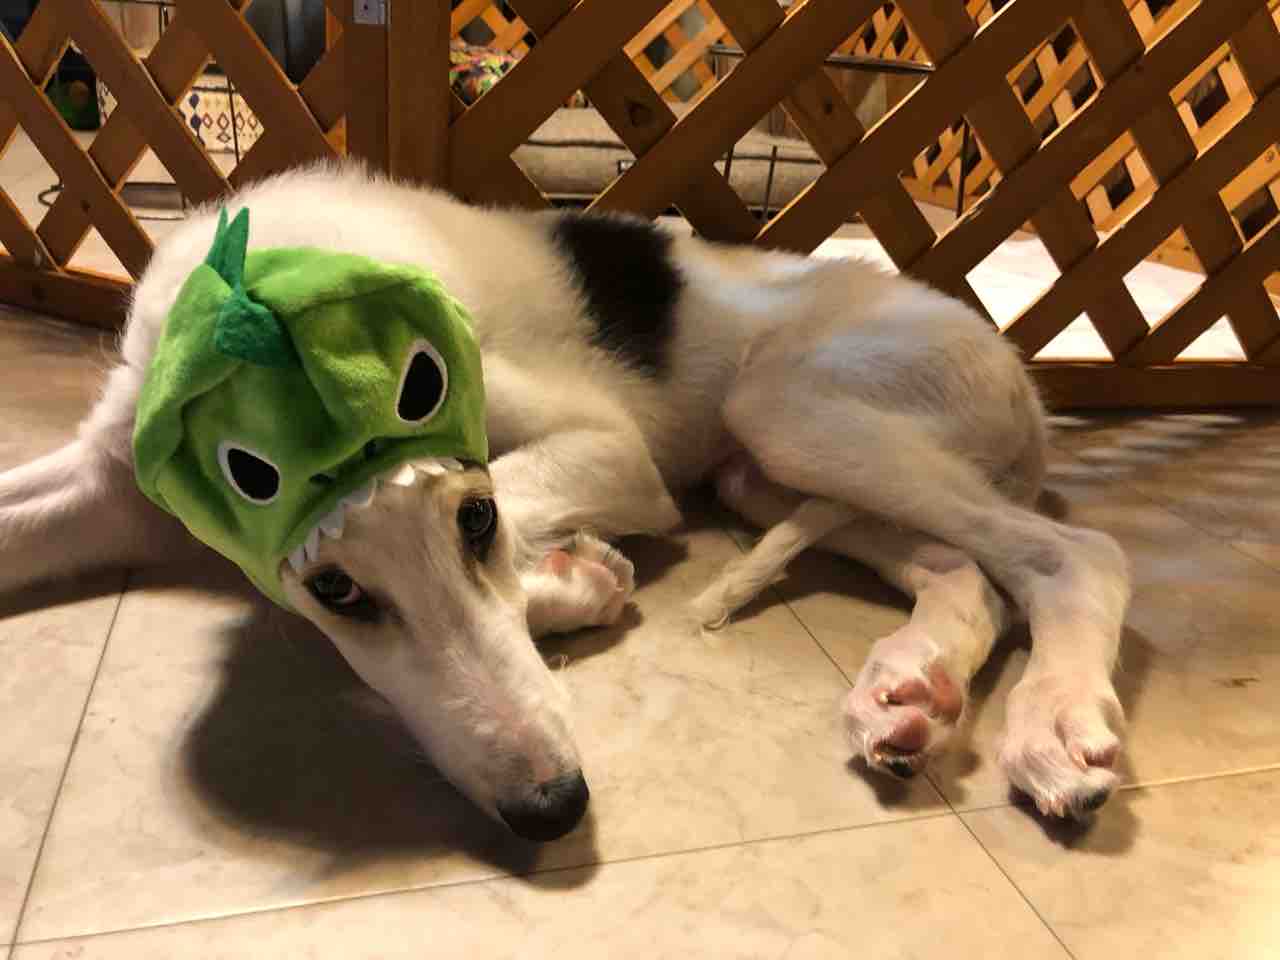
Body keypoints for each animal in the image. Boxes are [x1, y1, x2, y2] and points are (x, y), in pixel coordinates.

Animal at [0, 163, 1130, 841]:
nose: (552, 808)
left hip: (794, 409)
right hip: (773, 470)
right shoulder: (116, 475)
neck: (267, 288)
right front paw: (572, 581)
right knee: (968, 575)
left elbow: (534, 509)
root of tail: (1023, 382)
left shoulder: (608, 451)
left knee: (1070, 555)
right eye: (339, 592)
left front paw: (570, 582)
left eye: (474, 524)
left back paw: (1054, 721)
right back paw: (910, 692)